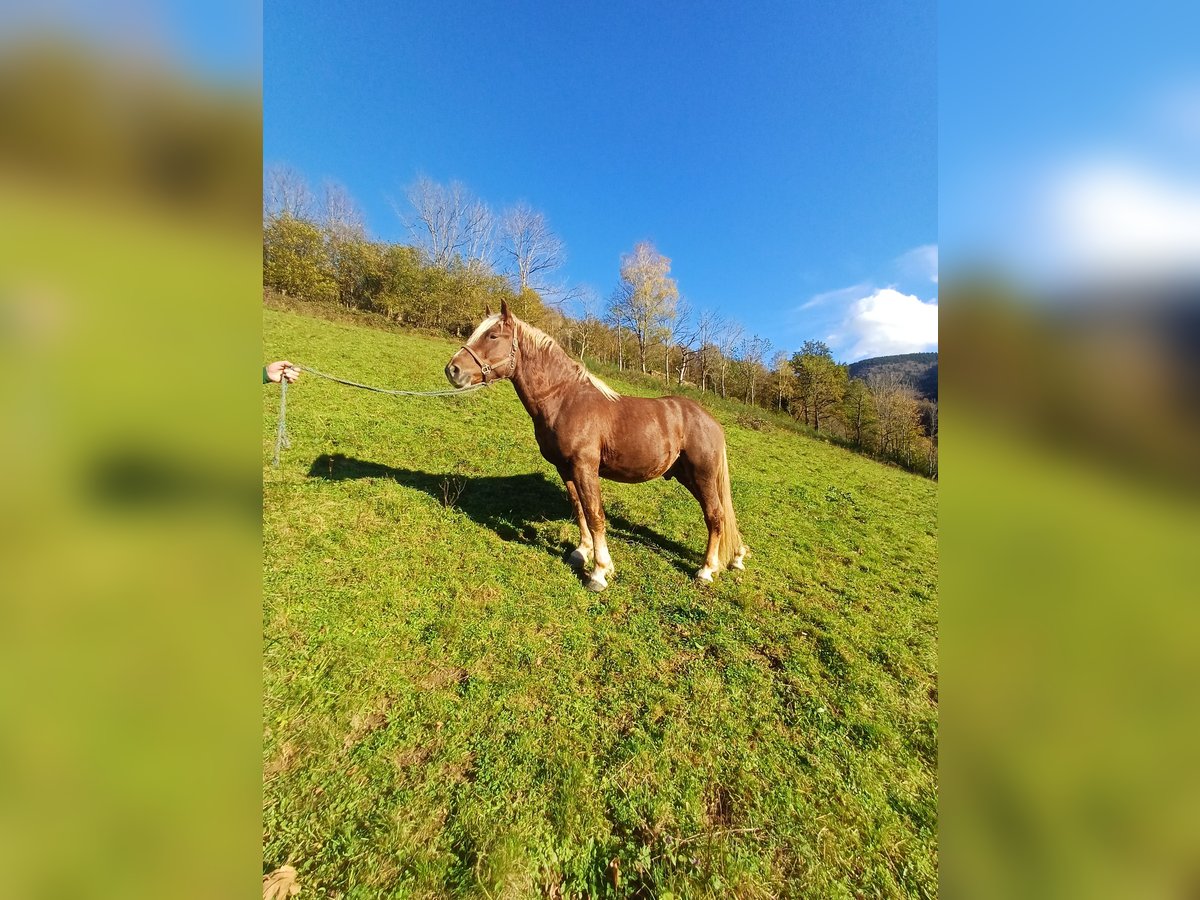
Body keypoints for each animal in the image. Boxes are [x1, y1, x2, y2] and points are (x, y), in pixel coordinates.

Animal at [448, 300, 748, 592]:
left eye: (492, 335)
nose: (453, 370)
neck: (565, 400)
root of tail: (711, 421)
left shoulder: (585, 468)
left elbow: (595, 515)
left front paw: (599, 572)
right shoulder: (565, 469)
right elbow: (579, 509)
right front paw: (582, 552)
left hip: (702, 476)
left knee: (715, 515)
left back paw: (706, 570)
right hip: (689, 477)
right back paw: (736, 555)